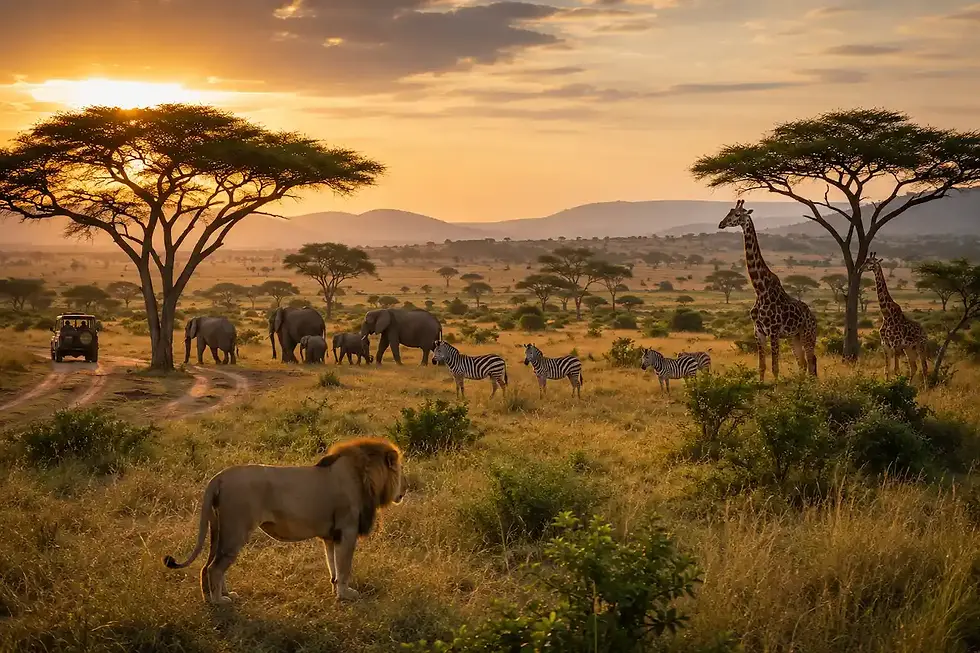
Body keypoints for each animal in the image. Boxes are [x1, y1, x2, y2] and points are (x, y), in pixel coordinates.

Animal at [163, 437, 406, 604]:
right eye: (401, 471)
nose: (404, 490)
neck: (365, 475)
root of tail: (220, 476)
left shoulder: (331, 536)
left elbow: (333, 566)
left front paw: (336, 591)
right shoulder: (347, 530)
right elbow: (344, 566)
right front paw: (346, 595)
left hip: (219, 530)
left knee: (208, 567)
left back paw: (217, 596)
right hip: (236, 530)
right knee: (214, 568)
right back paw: (219, 602)